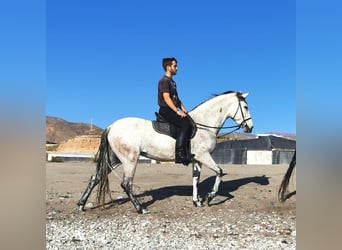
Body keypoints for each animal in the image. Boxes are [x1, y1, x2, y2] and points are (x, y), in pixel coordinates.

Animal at [78, 91, 254, 214]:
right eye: (246, 107)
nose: (250, 127)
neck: (204, 124)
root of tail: (111, 126)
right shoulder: (204, 156)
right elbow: (219, 172)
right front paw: (209, 197)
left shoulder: (197, 159)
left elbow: (196, 179)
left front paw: (197, 201)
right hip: (130, 160)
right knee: (126, 184)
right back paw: (141, 208)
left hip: (114, 159)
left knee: (96, 177)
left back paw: (81, 205)